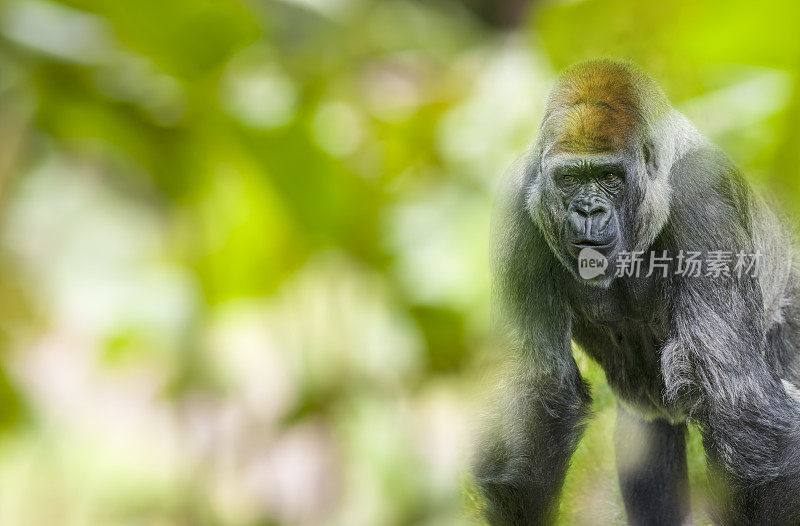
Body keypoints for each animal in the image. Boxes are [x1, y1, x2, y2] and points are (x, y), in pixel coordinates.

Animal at [472, 59, 800, 524]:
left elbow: (739, 409)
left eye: (609, 176)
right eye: (569, 179)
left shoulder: (704, 198)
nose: (588, 210)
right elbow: (539, 389)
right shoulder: (516, 205)